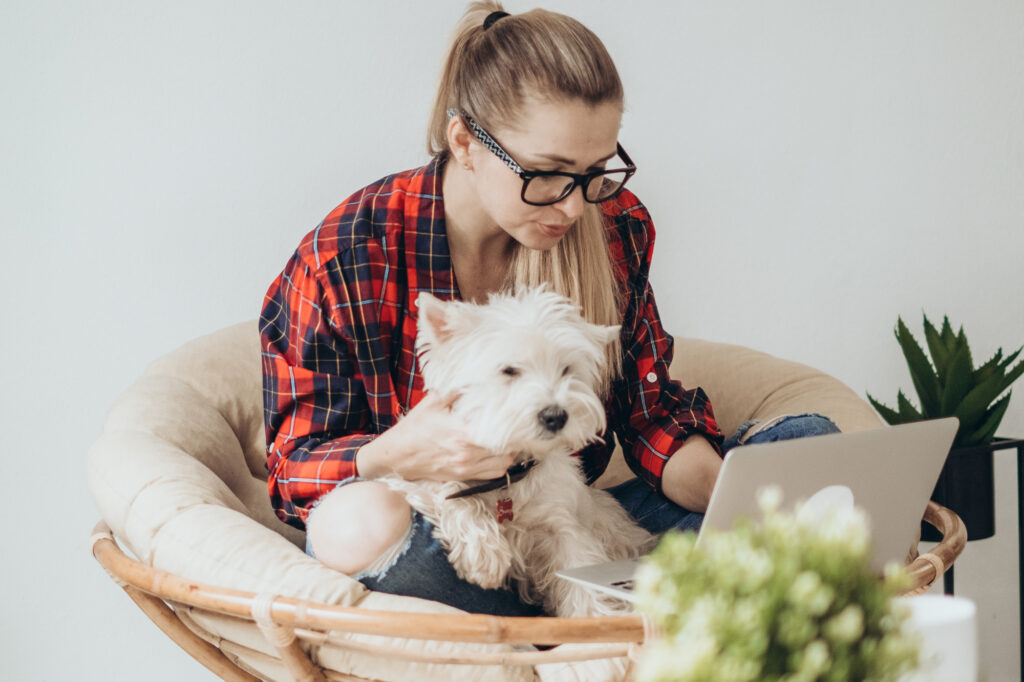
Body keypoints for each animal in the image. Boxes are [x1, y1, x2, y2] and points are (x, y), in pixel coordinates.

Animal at [378, 284, 655, 614]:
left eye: (566, 369)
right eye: (509, 370)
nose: (555, 416)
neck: (508, 477)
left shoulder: (563, 528)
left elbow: (582, 582)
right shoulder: (415, 466)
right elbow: (449, 493)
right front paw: (485, 553)